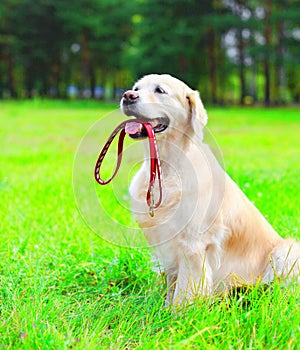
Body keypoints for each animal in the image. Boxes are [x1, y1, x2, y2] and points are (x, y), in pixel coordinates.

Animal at [120, 73, 300, 304]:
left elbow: (183, 292)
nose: (127, 96)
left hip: (287, 251)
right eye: (136, 88)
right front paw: (163, 308)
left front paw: (176, 312)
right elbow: (172, 284)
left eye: (160, 90)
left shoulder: (193, 245)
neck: (168, 167)